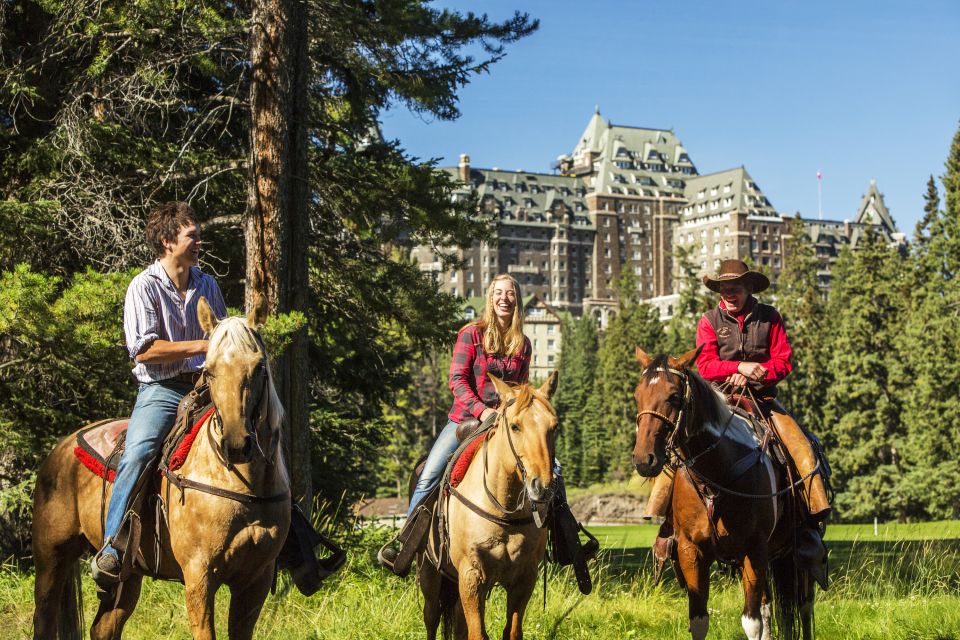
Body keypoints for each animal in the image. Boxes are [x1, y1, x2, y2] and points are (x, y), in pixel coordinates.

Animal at [32, 300, 288, 640]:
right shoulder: (199, 574)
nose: (235, 444)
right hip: (51, 557)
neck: (245, 485)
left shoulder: (256, 579)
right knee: (44, 619)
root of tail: (60, 448)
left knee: (104, 627)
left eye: (259, 367)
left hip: (128, 575)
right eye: (209, 371)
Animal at [416, 372, 560, 636]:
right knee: (431, 616)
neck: (503, 510)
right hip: (429, 574)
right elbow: (477, 634)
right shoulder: (471, 576)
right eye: (515, 426)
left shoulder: (525, 579)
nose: (543, 486)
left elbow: (511, 631)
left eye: (554, 427)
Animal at [632, 348, 812, 640]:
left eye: (674, 396)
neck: (716, 477)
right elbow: (699, 621)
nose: (644, 459)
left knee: (803, 608)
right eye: (637, 395)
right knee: (767, 605)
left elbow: (751, 622)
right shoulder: (690, 551)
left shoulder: (755, 549)